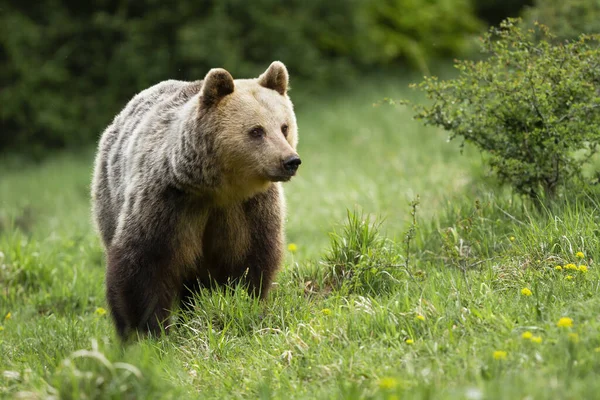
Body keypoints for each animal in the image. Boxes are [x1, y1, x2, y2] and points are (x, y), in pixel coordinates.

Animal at [91, 61, 300, 340]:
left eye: (284, 127)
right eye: (257, 131)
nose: (290, 161)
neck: (218, 189)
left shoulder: (250, 209)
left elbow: (252, 260)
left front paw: (246, 304)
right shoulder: (168, 202)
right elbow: (142, 265)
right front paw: (146, 332)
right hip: (109, 199)